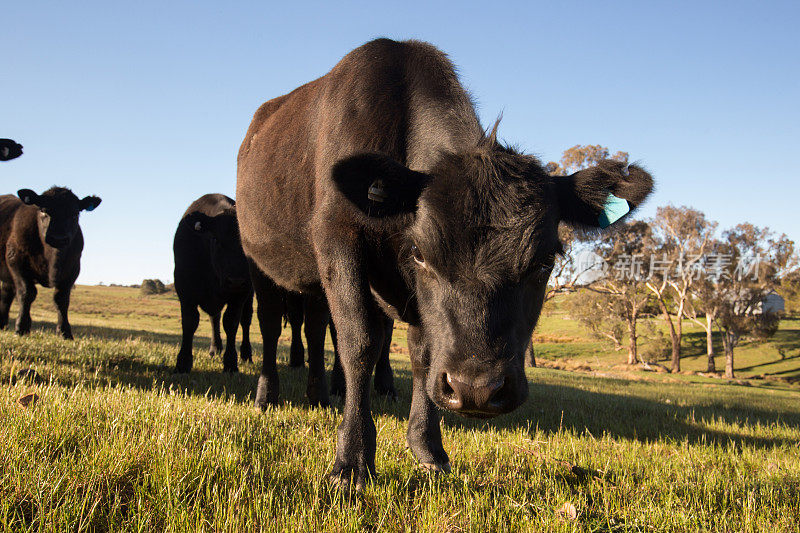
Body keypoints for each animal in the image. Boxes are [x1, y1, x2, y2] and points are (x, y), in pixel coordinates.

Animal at [0, 187, 101, 336]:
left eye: (75, 213)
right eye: (43, 210)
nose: (58, 238)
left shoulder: (73, 268)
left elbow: (61, 299)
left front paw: (64, 332)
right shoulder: (16, 261)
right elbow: (26, 293)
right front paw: (21, 327)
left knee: (6, 294)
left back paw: (2, 324)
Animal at [173, 193, 252, 372]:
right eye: (215, 239)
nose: (236, 281)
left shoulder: (241, 294)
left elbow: (231, 322)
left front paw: (230, 363)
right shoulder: (184, 287)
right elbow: (190, 321)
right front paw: (183, 363)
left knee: (245, 320)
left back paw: (246, 355)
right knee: (214, 318)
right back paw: (214, 349)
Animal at [234, 37, 652, 488]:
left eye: (544, 262)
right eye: (421, 253)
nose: (476, 389)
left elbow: (423, 354)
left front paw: (427, 447)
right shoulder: (338, 239)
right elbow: (360, 343)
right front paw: (352, 460)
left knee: (313, 330)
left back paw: (319, 395)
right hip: (259, 261)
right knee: (272, 325)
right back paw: (267, 395)